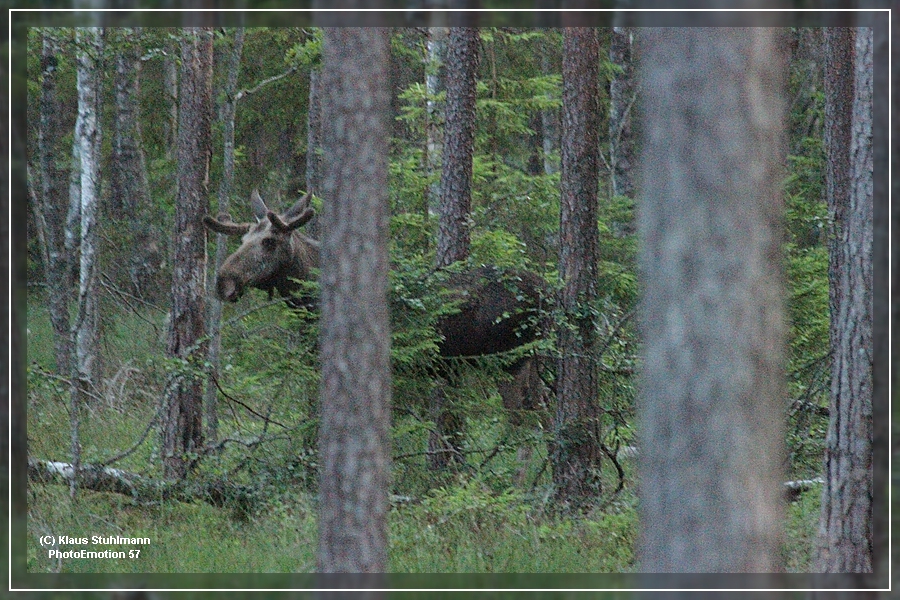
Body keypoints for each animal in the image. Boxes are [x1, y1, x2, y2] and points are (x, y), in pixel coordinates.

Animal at [207, 190, 552, 472]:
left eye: (269, 242)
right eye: (242, 241)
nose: (223, 281)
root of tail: (547, 292)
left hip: (510, 360)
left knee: (524, 422)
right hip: (532, 361)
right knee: (544, 415)